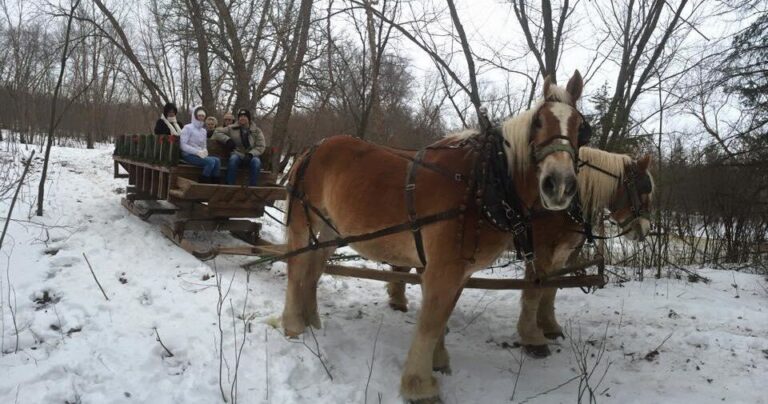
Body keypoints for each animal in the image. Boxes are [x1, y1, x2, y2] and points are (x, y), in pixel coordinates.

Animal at [281, 71, 586, 402]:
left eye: (581, 128)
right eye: (539, 122)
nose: (560, 185)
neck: (482, 183)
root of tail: (314, 147)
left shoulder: (460, 271)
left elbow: (443, 317)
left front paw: (438, 361)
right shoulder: (444, 267)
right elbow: (431, 321)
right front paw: (419, 385)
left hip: (330, 229)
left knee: (313, 268)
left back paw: (312, 321)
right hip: (303, 221)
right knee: (297, 267)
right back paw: (293, 325)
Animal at [385, 147, 655, 358]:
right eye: (644, 188)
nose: (643, 229)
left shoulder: (561, 255)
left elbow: (551, 290)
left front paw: (549, 326)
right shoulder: (541, 252)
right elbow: (534, 291)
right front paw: (533, 337)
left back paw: (398, 300)